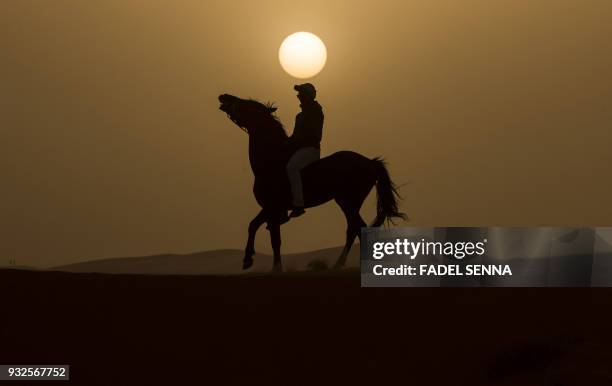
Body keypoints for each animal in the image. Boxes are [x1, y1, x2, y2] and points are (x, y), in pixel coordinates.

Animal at [218, 94, 404, 272]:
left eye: (247, 104)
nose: (223, 96)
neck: (271, 161)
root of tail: (370, 162)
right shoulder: (270, 209)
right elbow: (255, 226)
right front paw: (249, 260)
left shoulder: (273, 207)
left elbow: (273, 239)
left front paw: (272, 267)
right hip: (347, 203)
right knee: (355, 229)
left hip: (349, 202)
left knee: (355, 229)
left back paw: (341, 265)